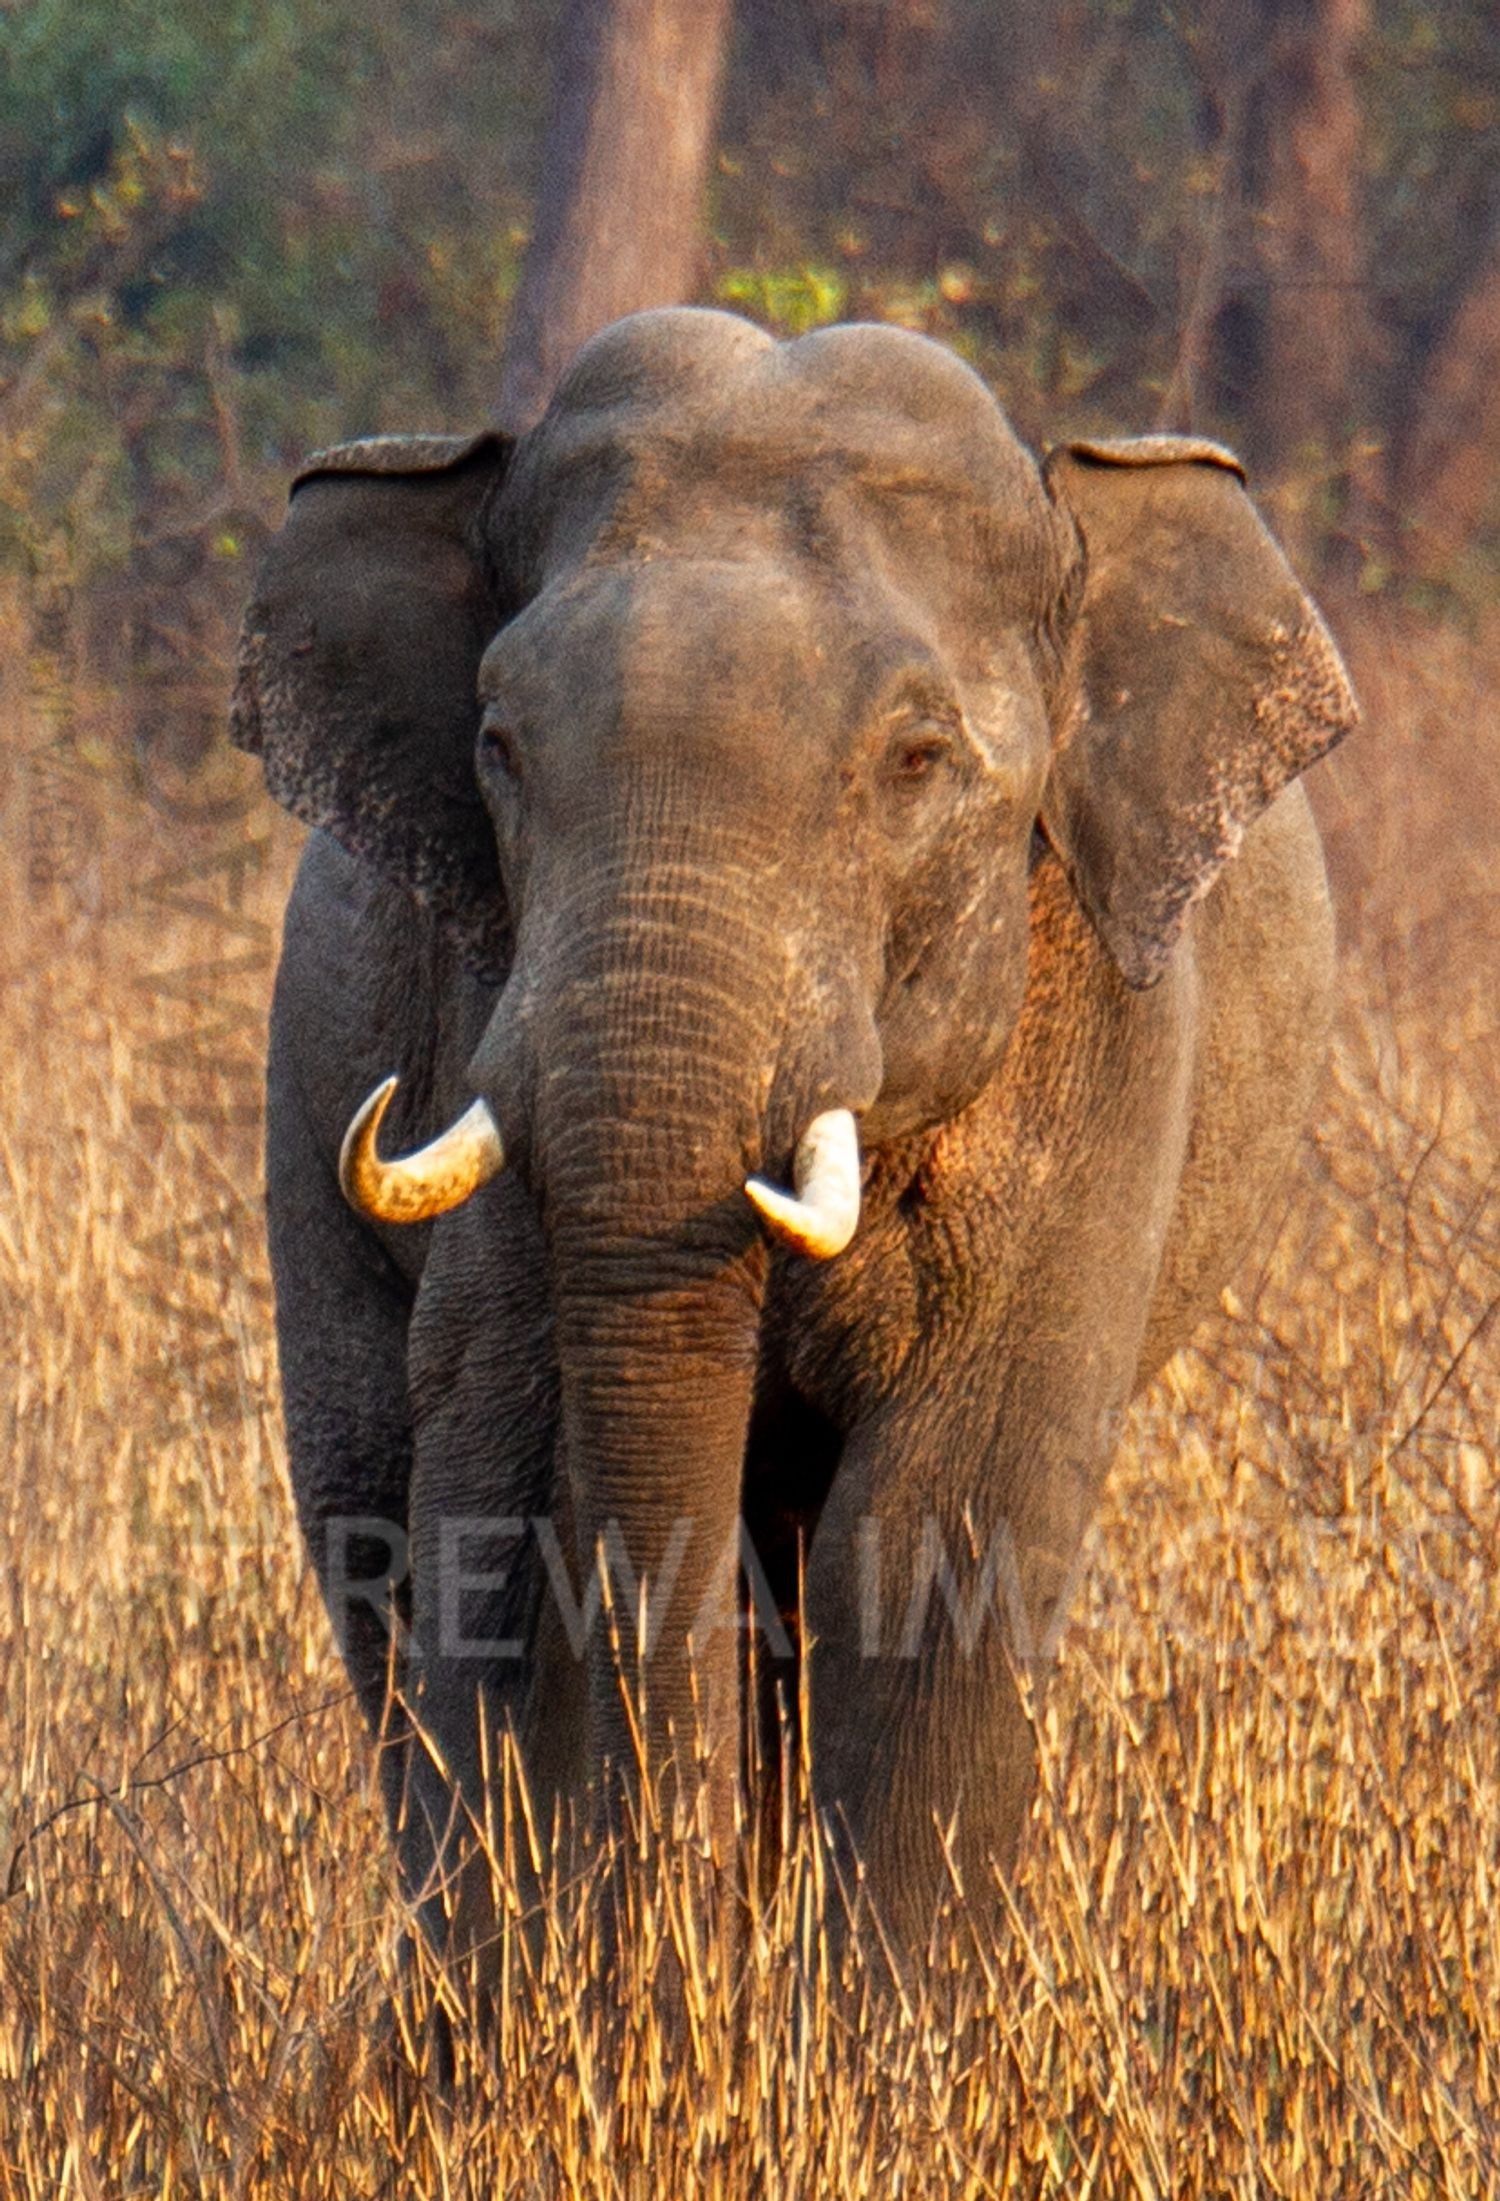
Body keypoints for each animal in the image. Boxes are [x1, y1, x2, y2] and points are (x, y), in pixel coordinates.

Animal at [231, 306, 1357, 1971]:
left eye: (918, 761)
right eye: (498, 744)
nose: (669, 1916)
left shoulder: (1103, 1032)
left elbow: (945, 1526)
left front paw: (863, 2038)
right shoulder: (483, 1005)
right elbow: (503, 1477)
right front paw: (554, 2012)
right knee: (372, 1519)